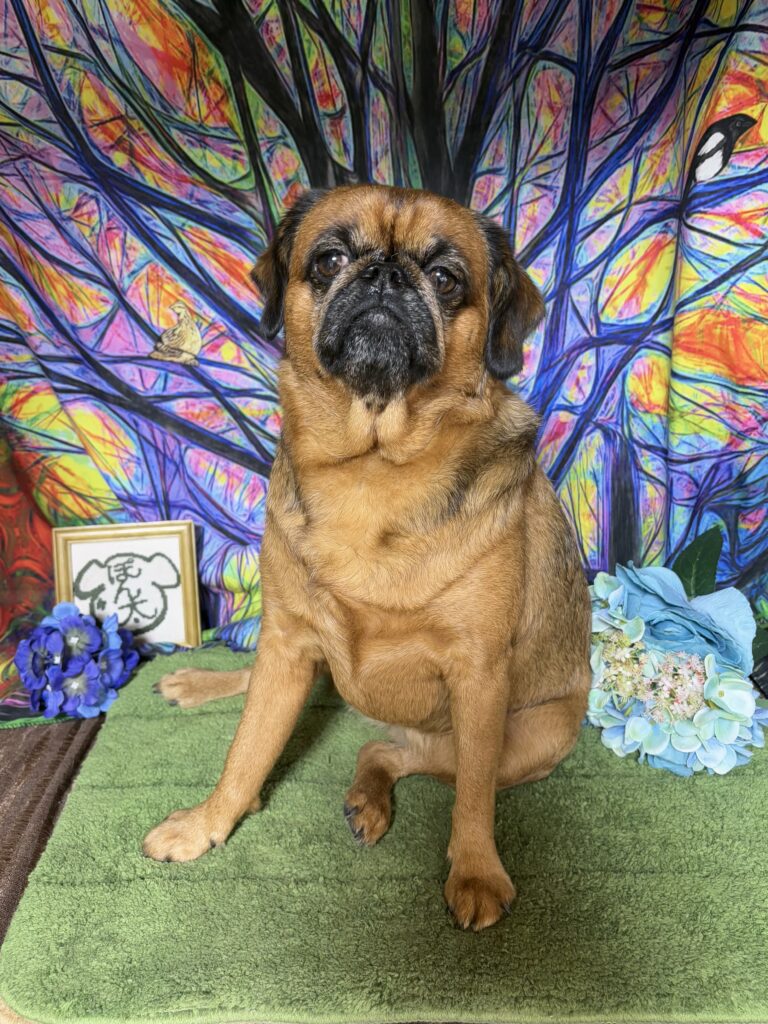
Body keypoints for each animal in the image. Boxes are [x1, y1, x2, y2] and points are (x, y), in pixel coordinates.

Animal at [142, 184, 592, 932]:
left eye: (446, 278)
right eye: (328, 260)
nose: (384, 274)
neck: (373, 466)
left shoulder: (479, 675)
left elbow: (473, 798)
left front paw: (475, 869)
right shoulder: (289, 641)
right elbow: (246, 750)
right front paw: (211, 821)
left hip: (533, 737)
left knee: (394, 752)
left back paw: (371, 798)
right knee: (304, 712)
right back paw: (203, 684)